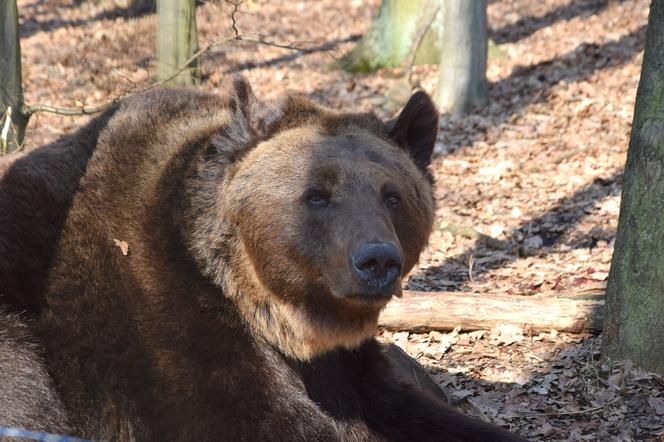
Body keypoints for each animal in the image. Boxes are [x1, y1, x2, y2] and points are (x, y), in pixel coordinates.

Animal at [0, 80, 524, 442]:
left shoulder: (344, 369)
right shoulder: (157, 313)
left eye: (392, 195)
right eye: (316, 194)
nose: (377, 260)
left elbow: (409, 410)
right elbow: (250, 417)